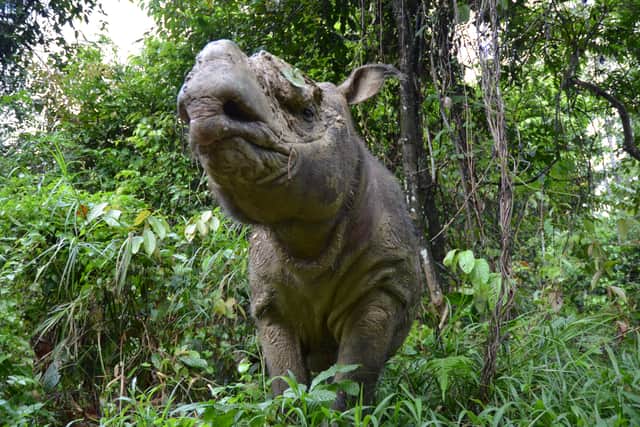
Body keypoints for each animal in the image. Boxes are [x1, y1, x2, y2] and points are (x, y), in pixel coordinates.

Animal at [177, 40, 422, 409]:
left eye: (308, 113)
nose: (207, 109)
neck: (307, 234)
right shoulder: (268, 304)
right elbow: (285, 379)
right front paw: (289, 411)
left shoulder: (383, 284)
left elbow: (354, 377)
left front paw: (344, 413)